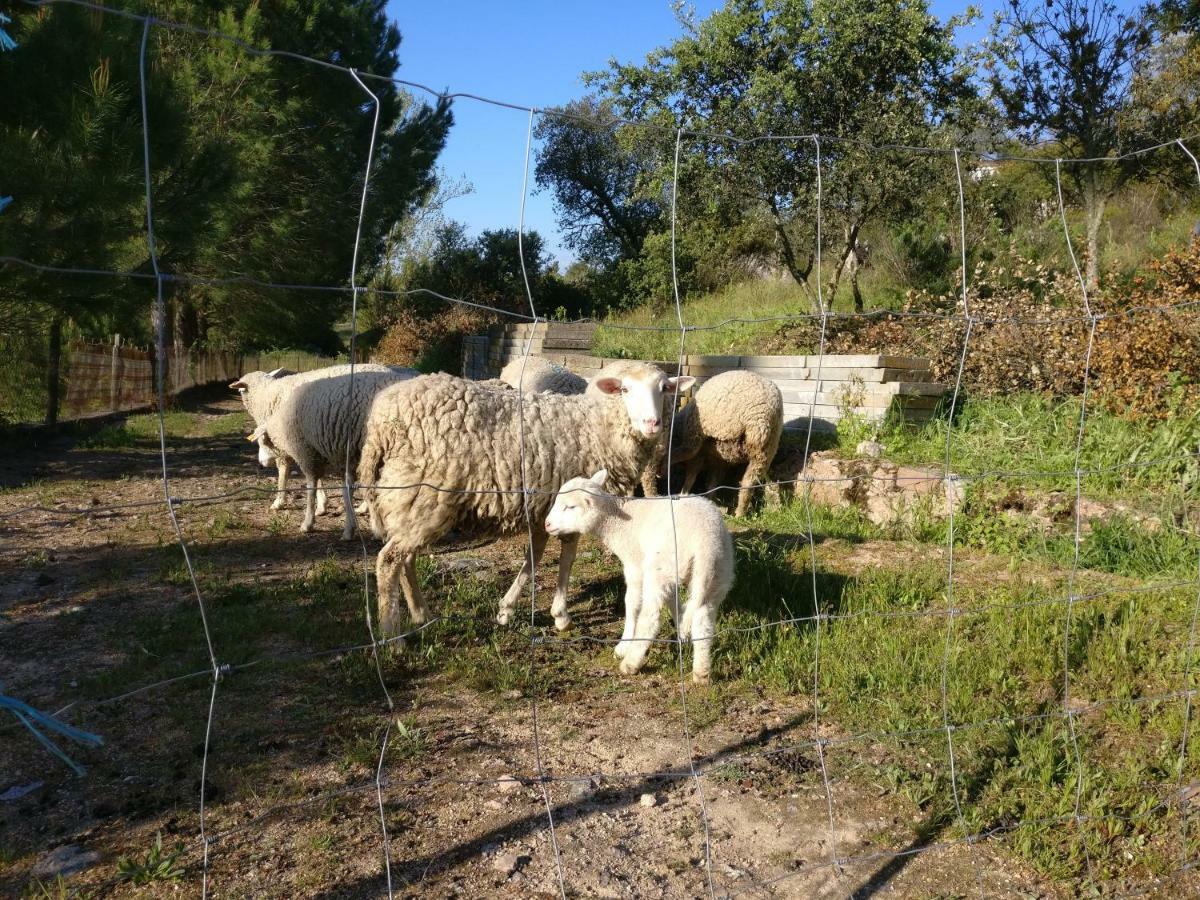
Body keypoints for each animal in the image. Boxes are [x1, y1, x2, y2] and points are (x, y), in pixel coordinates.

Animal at [249, 367, 417, 542]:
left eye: (261, 441)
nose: (261, 464)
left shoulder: (306, 452)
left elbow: (312, 487)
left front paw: (308, 522)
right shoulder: (340, 456)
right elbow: (346, 489)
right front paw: (350, 525)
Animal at [357, 362, 696, 638]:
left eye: (664, 389)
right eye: (625, 389)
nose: (652, 424)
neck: (599, 426)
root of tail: (381, 422)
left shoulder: (544, 506)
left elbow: (535, 556)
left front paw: (506, 609)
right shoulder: (570, 502)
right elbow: (566, 556)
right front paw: (561, 615)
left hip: (412, 502)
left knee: (406, 558)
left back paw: (421, 615)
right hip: (421, 495)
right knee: (389, 560)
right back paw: (392, 635)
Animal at [544, 472, 729, 681]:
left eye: (570, 507)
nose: (546, 524)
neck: (617, 522)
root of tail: (704, 543)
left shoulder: (634, 565)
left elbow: (631, 603)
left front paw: (625, 644)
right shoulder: (669, 574)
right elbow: (673, 600)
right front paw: (681, 629)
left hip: (661, 567)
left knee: (651, 619)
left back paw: (631, 662)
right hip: (716, 575)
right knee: (703, 619)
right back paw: (701, 673)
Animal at [662, 369, 782, 518]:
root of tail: (759, 416)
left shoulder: (701, 455)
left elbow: (692, 474)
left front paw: (684, 492)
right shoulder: (720, 460)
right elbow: (713, 481)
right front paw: (711, 499)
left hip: (703, 432)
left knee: (686, 451)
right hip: (765, 450)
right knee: (748, 483)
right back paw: (741, 513)